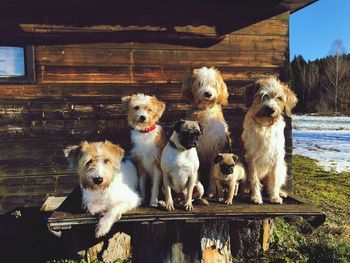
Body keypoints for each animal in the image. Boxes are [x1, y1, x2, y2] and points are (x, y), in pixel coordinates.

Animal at [182, 67, 231, 197]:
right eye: (200, 83)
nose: (208, 94)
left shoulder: (215, 148)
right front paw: (195, 187)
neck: (205, 111)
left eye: (213, 84)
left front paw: (212, 190)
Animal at [242, 77, 296, 205]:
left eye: (279, 98)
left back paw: (280, 192)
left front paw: (274, 197)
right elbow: (254, 179)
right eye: (263, 96)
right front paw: (256, 197)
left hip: (283, 167)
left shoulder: (276, 157)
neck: (264, 126)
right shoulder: (252, 157)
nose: (270, 109)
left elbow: (274, 180)